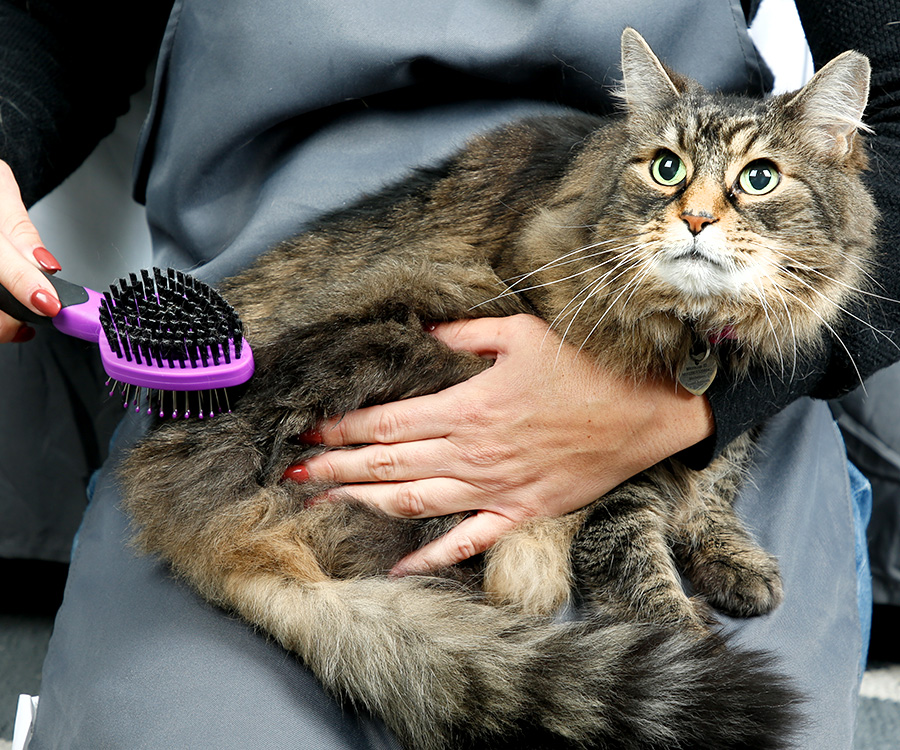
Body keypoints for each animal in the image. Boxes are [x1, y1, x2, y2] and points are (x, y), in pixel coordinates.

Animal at [116, 29, 876, 750]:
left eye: (759, 178)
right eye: (668, 168)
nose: (695, 220)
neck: (697, 334)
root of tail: (189, 515)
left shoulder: (745, 386)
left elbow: (718, 473)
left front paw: (726, 550)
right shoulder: (608, 465)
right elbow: (640, 573)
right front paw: (694, 638)